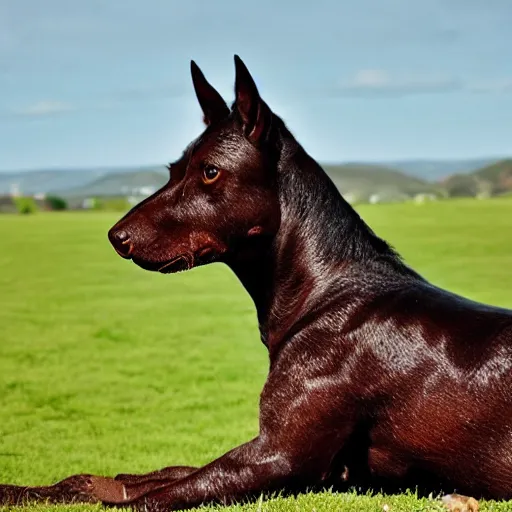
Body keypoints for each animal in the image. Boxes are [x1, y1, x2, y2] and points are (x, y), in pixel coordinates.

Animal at [1, 54, 512, 510]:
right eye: (173, 170)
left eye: (210, 172)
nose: (115, 237)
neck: (324, 293)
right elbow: (121, 480)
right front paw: (25, 491)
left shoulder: (279, 456)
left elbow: (140, 500)